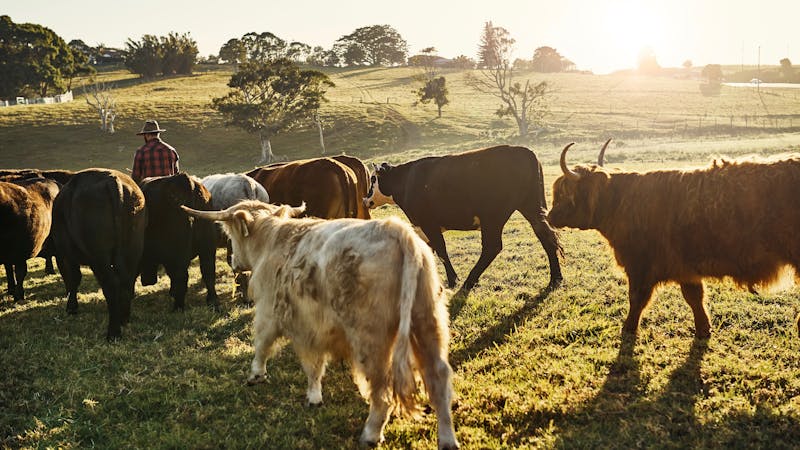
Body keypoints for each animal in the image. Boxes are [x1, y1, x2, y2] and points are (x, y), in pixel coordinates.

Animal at [52, 169, 147, 340]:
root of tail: (112, 179)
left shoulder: (65, 255)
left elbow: (73, 279)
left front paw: (71, 307)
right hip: (132, 248)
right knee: (127, 280)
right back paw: (123, 318)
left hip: (99, 257)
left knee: (111, 284)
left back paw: (113, 333)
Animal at [139, 173, 219, 310]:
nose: (146, 281)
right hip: (207, 246)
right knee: (208, 271)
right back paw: (213, 301)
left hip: (177, 253)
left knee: (181, 276)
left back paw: (178, 307)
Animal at [182, 200, 459, 449]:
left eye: (232, 236)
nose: (233, 263)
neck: (270, 242)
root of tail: (395, 229)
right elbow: (313, 365)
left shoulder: (275, 314)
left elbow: (268, 347)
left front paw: (258, 375)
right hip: (428, 323)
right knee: (438, 377)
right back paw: (447, 439)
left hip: (371, 338)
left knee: (382, 388)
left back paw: (371, 433)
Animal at [364, 145, 563, 291]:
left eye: (373, 179)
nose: (365, 199)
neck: (406, 181)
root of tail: (525, 152)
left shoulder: (429, 224)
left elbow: (441, 250)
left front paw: (453, 280)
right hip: (531, 207)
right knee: (546, 237)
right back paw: (555, 278)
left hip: (492, 216)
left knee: (492, 247)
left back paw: (469, 281)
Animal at [548, 140, 800, 338]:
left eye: (565, 194)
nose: (549, 216)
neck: (621, 203)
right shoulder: (685, 268)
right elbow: (694, 297)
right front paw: (703, 330)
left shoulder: (640, 264)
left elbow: (636, 298)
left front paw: (628, 328)